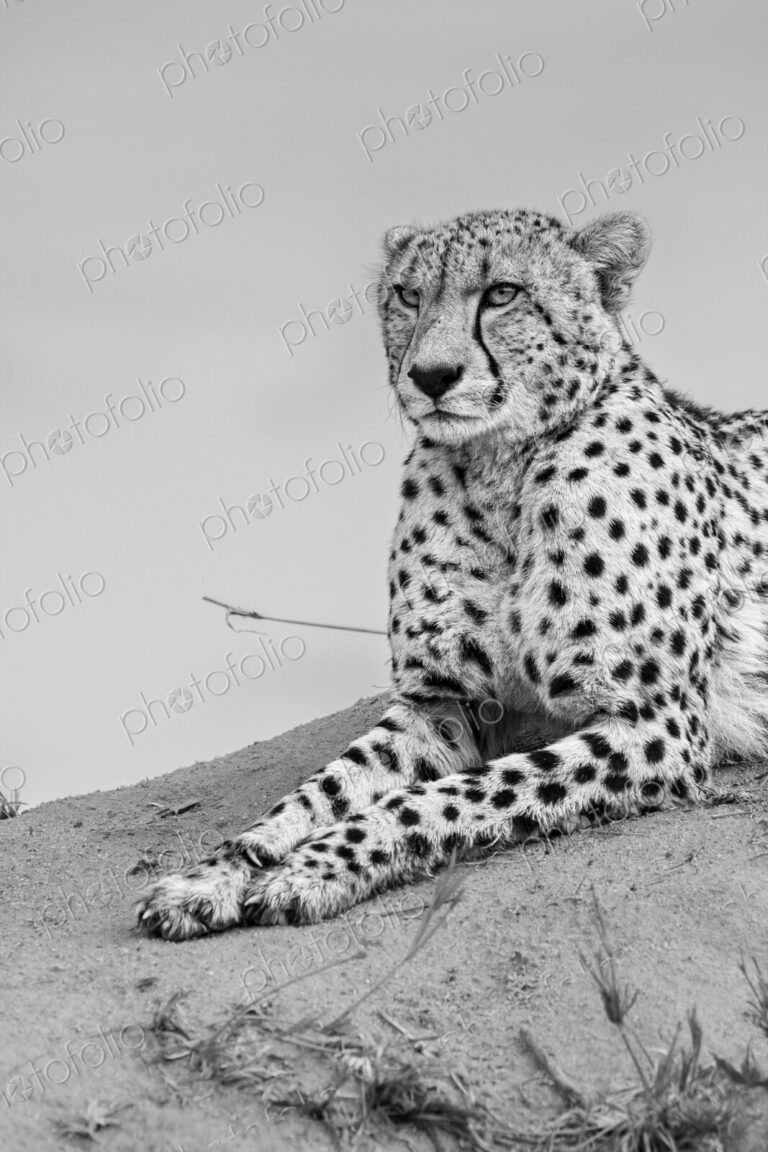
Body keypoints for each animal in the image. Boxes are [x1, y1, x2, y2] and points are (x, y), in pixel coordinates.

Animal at [137, 205, 768, 941]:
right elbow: (316, 792)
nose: (431, 375)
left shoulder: (652, 722)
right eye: (409, 295)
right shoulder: (441, 702)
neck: (500, 472)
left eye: (502, 293)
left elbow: (445, 797)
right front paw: (212, 875)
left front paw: (315, 868)